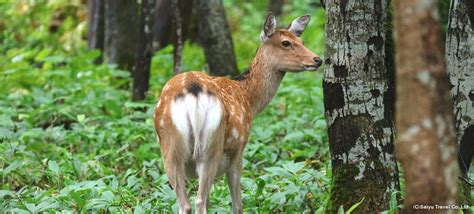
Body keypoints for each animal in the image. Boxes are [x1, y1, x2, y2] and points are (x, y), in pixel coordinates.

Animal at [155, 12, 322, 213]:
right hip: (211, 148)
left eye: (301, 40)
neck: (248, 98)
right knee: (199, 201)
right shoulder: (238, 151)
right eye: (285, 43)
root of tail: (192, 92)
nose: (317, 59)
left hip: (170, 149)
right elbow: (238, 205)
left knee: (185, 204)